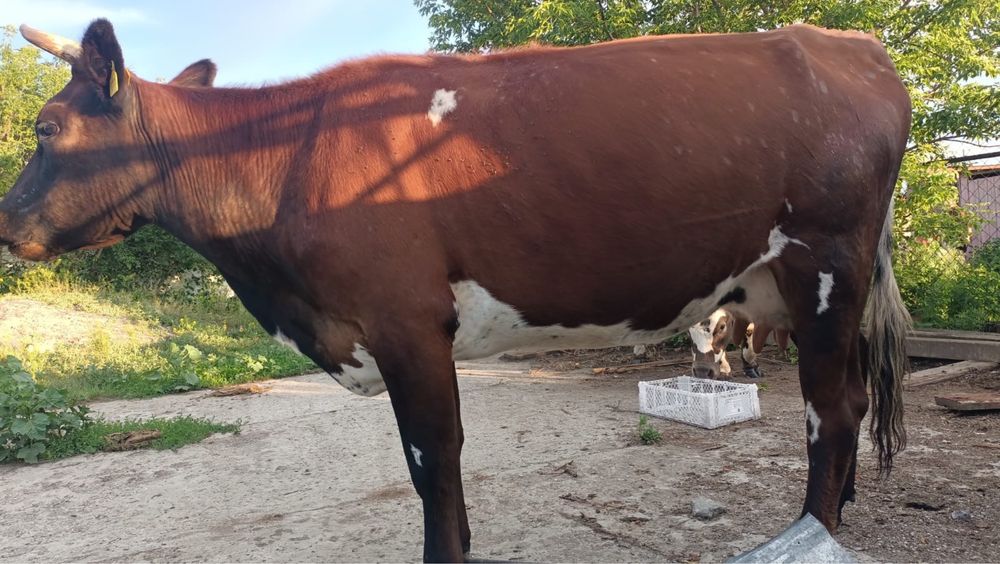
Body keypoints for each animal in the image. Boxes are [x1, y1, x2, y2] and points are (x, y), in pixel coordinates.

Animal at [2, 20, 911, 562]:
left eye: (45, 129)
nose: (6, 225)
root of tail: (849, 42)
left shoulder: (404, 322)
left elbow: (432, 460)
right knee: (854, 399)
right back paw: (840, 510)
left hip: (825, 265)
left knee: (829, 413)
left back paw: (812, 529)